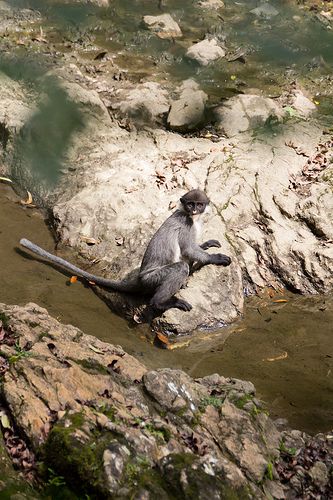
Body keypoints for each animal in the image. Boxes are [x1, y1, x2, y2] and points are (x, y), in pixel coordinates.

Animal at [19, 188, 230, 312]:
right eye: (190, 204)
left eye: (199, 204)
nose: (194, 209)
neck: (191, 218)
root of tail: (140, 278)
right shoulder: (185, 223)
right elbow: (187, 249)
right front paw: (215, 258)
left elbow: (191, 251)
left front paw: (206, 245)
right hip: (152, 279)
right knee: (179, 268)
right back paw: (160, 303)